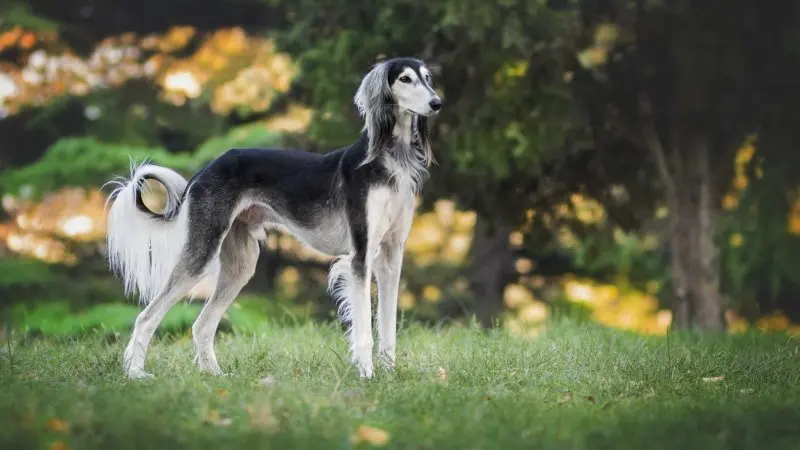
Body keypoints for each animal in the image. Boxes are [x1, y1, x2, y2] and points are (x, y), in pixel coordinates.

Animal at [104, 57, 444, 380]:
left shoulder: (391, 256)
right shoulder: (360, 257)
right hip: (201, 252)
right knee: (146, 316)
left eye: (427, 78)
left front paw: (389, 373)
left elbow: (388, 327)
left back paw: (214, 375)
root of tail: (206, 169)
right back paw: (135, 373)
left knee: (202, 324)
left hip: (240, 264)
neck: (388, 159)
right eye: (405, 79)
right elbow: (364, 330)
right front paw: (367, 374)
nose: (437, 103)